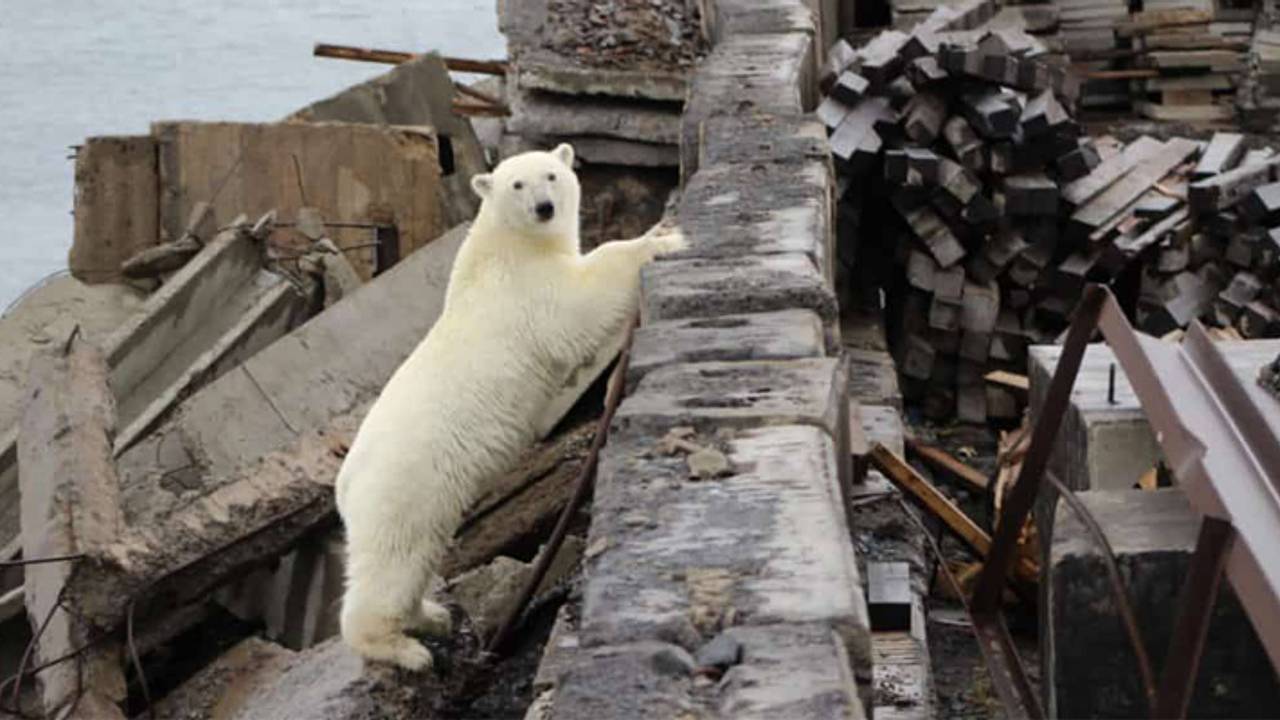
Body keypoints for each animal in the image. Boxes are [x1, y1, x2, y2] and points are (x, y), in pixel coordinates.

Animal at [335, 142, 686, 671]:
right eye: (518, 185)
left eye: (551, 175)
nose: (544, 208)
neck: (504, 244)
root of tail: (344, 483)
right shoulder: (527, 292)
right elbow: (578, 304)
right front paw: (664, 241)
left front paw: (661, 228)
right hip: (401, 487)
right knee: (393, 560)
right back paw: (405, 649)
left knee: (418, 557)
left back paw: (432, 615)